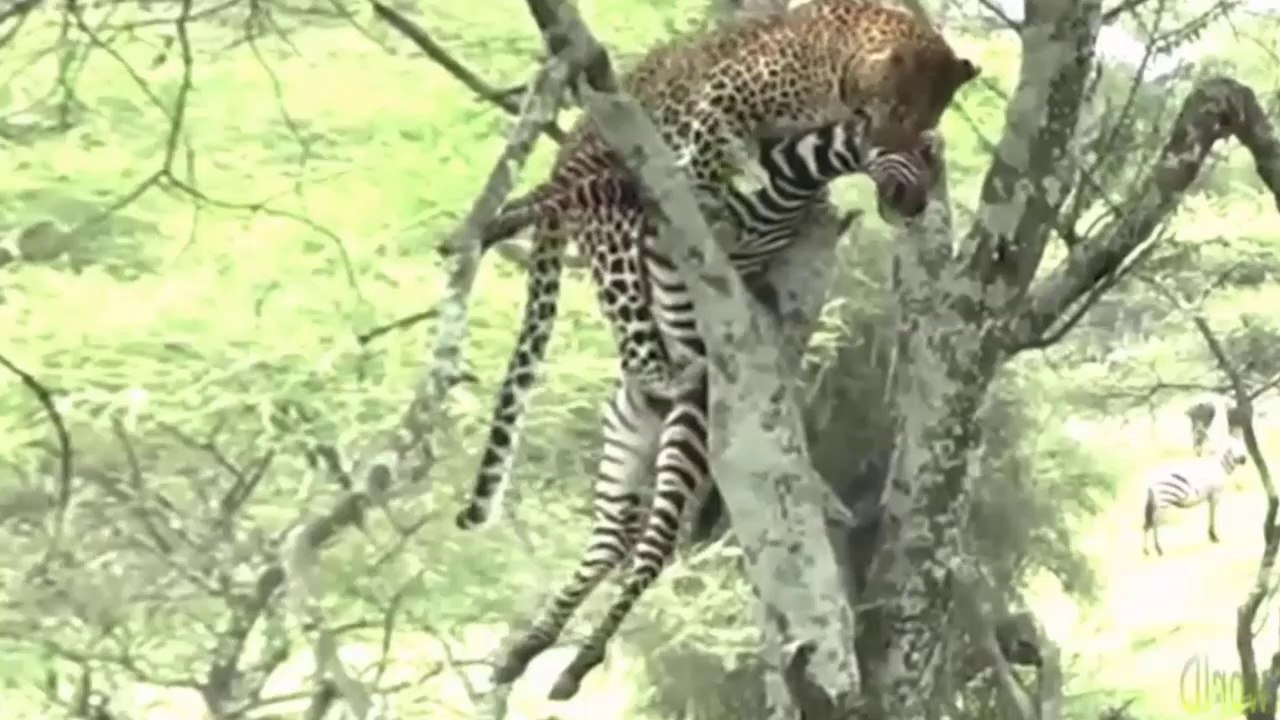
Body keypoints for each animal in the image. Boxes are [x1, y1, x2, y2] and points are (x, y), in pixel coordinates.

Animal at [470, 112, 938, 698]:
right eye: (920, 153)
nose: (915, 209)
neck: (785, 181)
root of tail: (655, 413)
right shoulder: (666, 217)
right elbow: (582, 197)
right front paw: (499, 223)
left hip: (684, 437)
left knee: (652, 548)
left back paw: (576, 665)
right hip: (625, 438)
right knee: (609, 543)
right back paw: (527, 648)